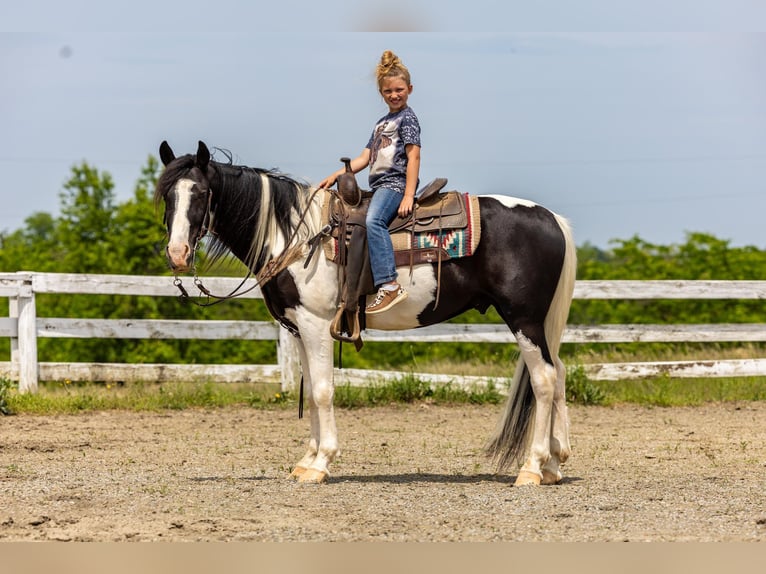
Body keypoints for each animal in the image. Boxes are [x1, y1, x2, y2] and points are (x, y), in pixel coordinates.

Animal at [154, 142, 576, 488]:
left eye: (201, 192)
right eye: (166, 196)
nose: (177, 254)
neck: (294, 236)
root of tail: (553, 218)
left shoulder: (316, 325)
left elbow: (323, 392)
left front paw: (321, 464)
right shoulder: (298, 327)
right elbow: (311, 391)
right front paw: (306, 460)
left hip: (523, 319)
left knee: (543, 380)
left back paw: (532, 468)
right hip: (541, 324)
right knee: (558, 376)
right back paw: (554, 466)